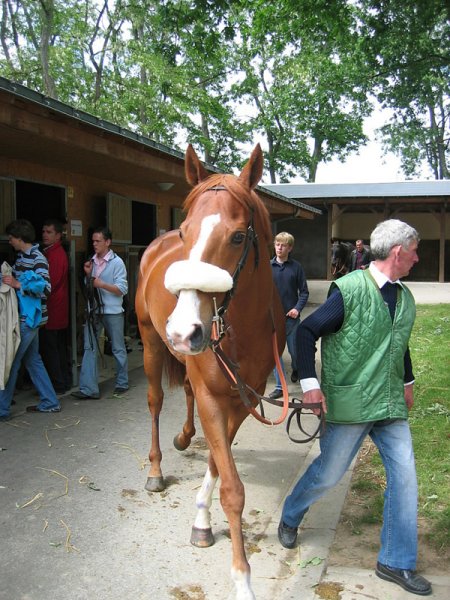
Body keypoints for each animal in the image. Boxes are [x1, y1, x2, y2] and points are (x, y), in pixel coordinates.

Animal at [135, 145, 286, 600]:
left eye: (237, 236)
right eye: (186, 233)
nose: (184, 330)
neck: (242, 331)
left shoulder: (243, 397)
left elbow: (220, 465)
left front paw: (201, 516)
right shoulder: (213, 397)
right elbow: (233, 487)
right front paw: (242, 580)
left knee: (184, 389)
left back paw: (185, 436)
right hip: (150, 343)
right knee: (156, 401)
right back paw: (155, 470)